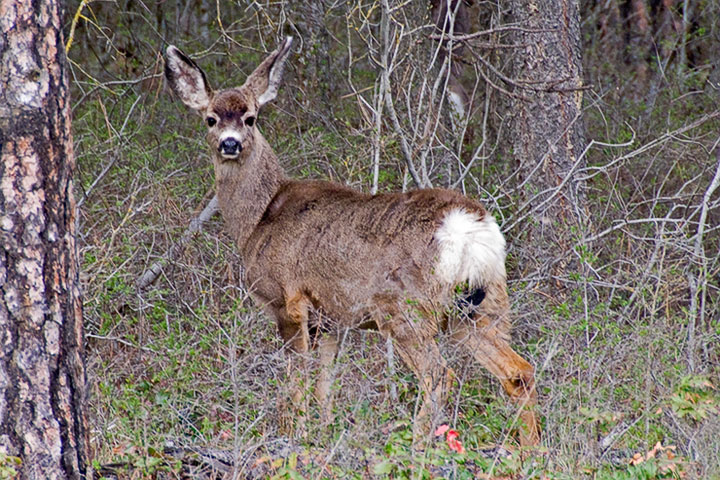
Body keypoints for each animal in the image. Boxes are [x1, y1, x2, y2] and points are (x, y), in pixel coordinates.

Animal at [165, 37, 540, 446]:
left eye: (250, 117)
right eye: (210, 119)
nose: (230, 144)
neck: (260, 217)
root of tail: (469, 228)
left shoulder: (286, 302)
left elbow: (296, 382)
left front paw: (292, 438)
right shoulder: (329, 319)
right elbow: (324, 385)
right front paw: (323, 435)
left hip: (407, 307)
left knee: (440, 376)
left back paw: (417, 448)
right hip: (482, 306)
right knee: (519, 371)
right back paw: (530, 451)